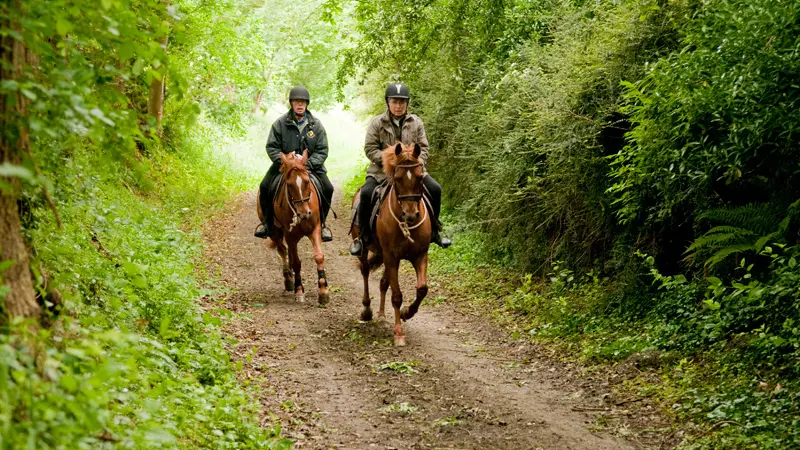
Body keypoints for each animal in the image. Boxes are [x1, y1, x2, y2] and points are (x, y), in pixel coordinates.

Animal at [258, 149, 330, 304]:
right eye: (289, 184)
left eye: (307, 181)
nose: (304, 213)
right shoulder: (290, 235)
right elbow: (297, 263)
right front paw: (299, 291)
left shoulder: (315, 229)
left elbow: (319, 256)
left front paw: (323, 291)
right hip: (276, 232)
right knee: (283, 250)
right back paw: (288, 279)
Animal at [350, 142, 432, 346]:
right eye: (397, 178)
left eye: (419, 177)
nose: (410, 215)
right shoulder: (391, 257)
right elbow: (396, 296)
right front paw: (399, 333)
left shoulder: (419, 255)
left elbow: (422, 289)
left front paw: (407, 313)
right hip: (367, 251)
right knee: (365, 271)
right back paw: (367, 310)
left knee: (383, 283)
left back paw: (381, 314)